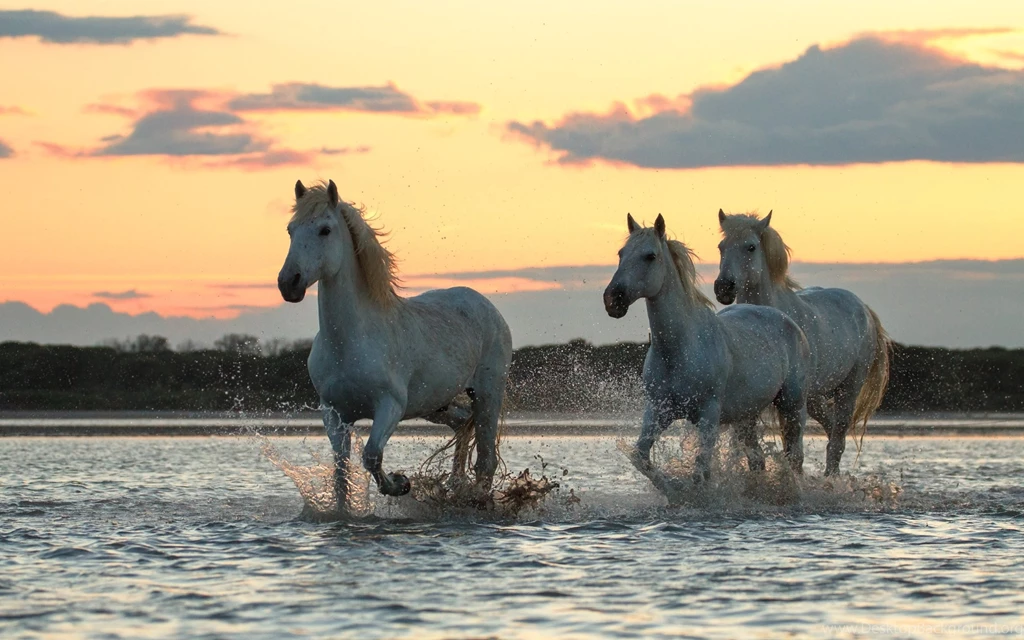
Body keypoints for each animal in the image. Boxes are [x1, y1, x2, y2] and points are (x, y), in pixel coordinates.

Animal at [277, 179, 513, 500]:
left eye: (325, 230)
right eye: (291, 230)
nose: (289, 283)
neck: (349, 344)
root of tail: (489, 308)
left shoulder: (390, 407)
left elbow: (372, 455)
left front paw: (401, 484)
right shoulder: (334, 414)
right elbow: (341, 472)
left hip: (488, 395)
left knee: (486, 460)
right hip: (436, 405)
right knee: (463, 425)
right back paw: (455, 485)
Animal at [603, 213, 811, 486]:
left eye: (650, 256)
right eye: (621, 253)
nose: (612, 299)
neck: (679, 350)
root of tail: (789, 322)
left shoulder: (708, 415)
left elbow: (700, 472)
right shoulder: (658, 410)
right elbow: (640, 457)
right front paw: (671, 487)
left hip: (792, 406)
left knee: (795, 458)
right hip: (746, 417)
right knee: (758, 460)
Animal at [715, 210, 890, 475]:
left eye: (751, 247)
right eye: (721, 247)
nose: (724, 287)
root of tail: (864, 309)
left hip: (848, 389)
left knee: (837, 440)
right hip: (814, 398)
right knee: (831, 430)